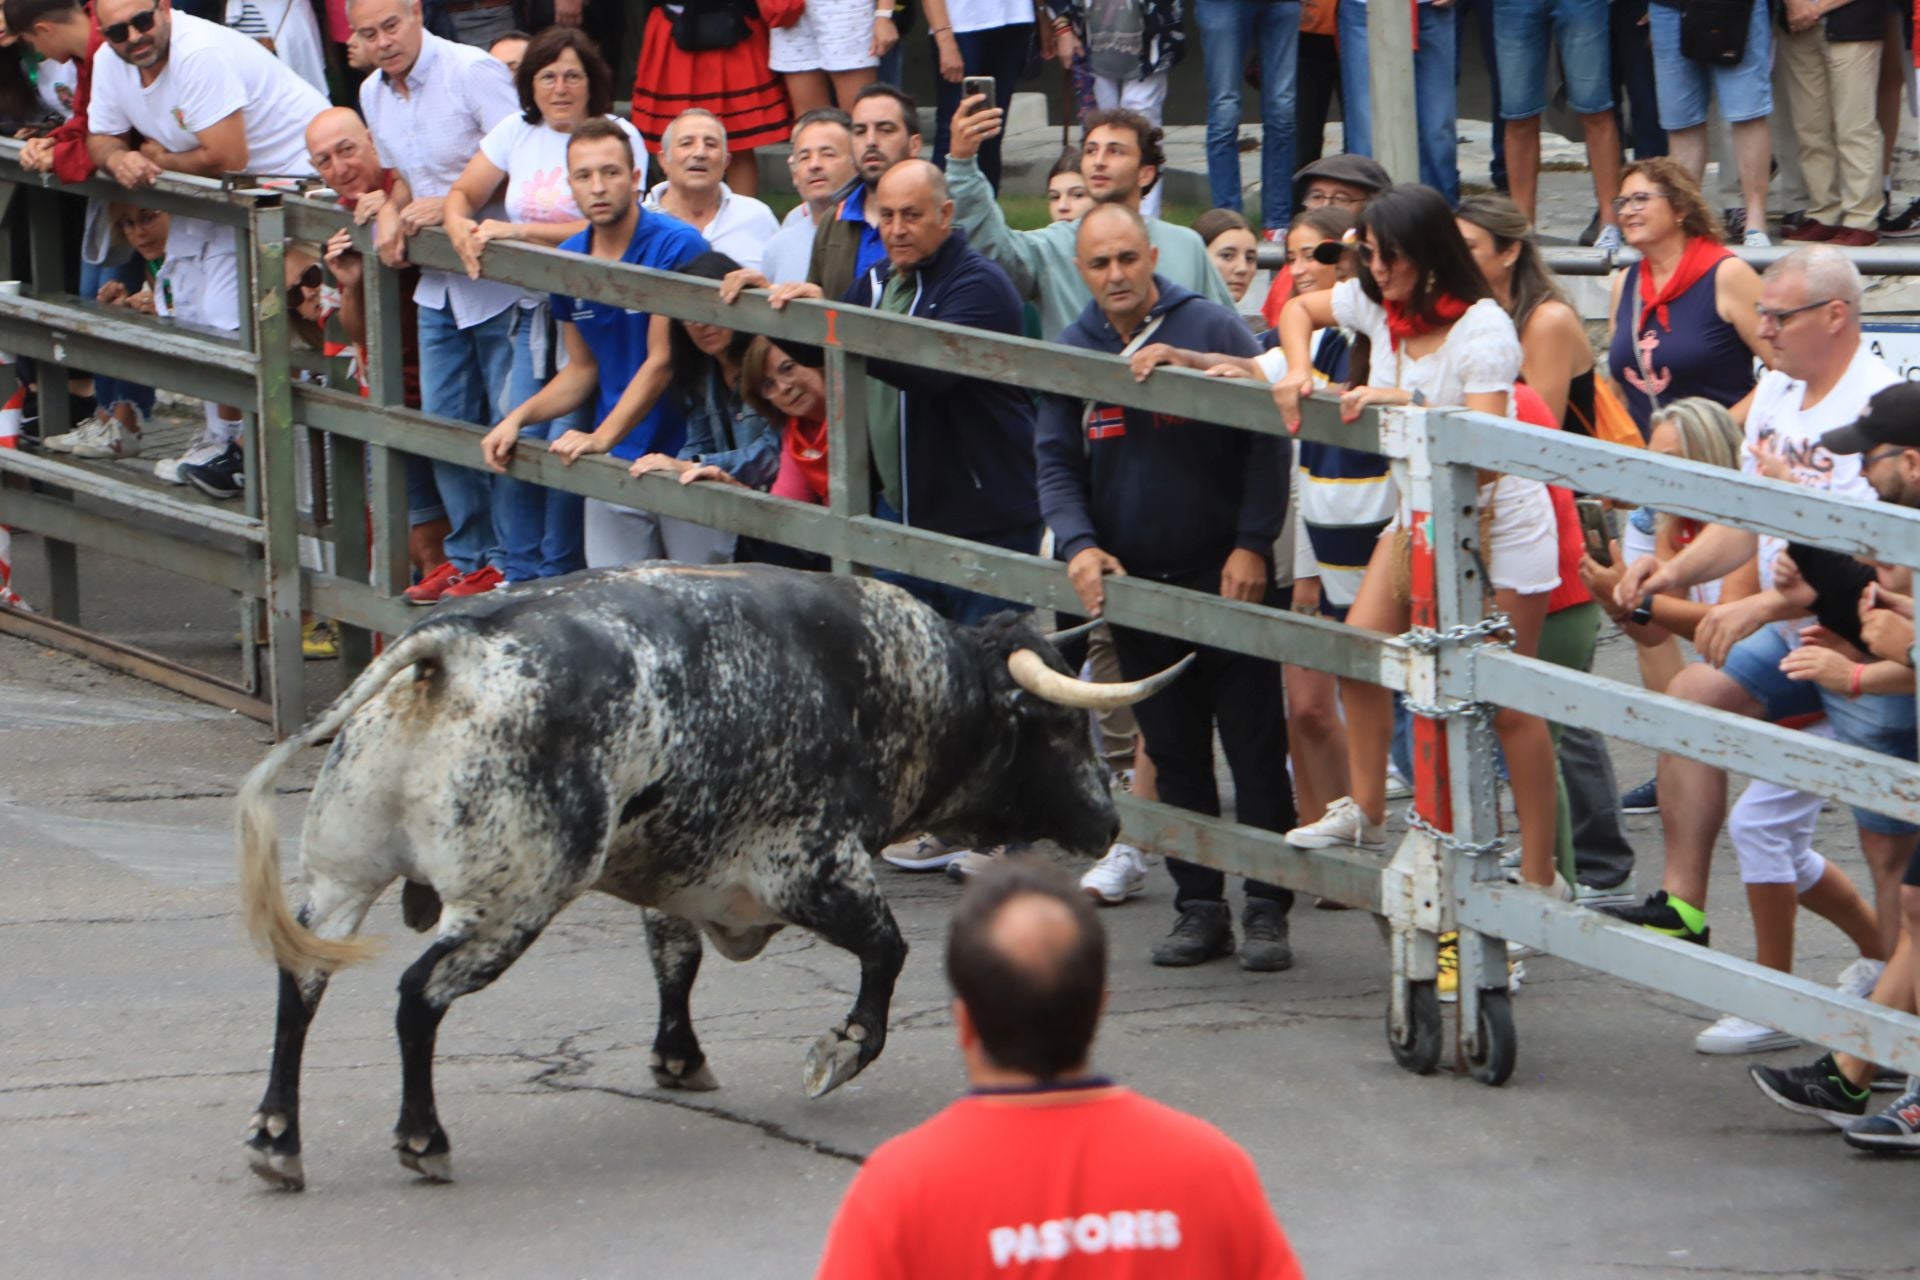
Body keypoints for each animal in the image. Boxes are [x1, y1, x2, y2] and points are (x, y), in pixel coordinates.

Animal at [232, 568, 1175, 1189]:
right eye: (1059, 728)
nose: (1109, 823)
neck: (892, 683)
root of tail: (453, 646)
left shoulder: (676, 870)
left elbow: (674, 964)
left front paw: (680, 1058)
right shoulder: (812, 867)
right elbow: (888, 955)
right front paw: (838, 1051)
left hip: (342, 876)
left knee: (301, 981)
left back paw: (278, 1138)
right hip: (510, 903)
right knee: (416, 996)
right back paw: (422, 1139)